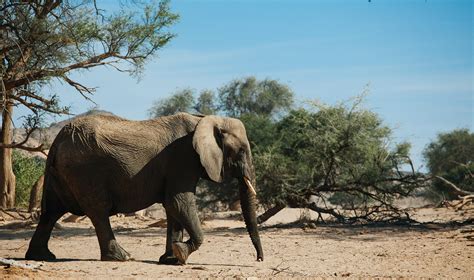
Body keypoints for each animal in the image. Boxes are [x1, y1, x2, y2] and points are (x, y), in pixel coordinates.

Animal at [25, 112, 262, 264]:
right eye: (241, 151)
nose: (259, 259)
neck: (204, 119)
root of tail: (57, 141)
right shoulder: (182, 159)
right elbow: (179, 202)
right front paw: (181, 254)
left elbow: (172, 207)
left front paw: (170, 259)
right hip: (84, 171)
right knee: (98, 211)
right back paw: (123, 257)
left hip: (58, 172)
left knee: (50, 212)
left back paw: (42, 257)